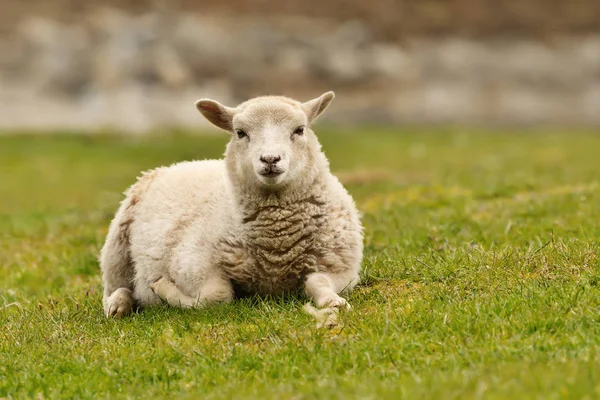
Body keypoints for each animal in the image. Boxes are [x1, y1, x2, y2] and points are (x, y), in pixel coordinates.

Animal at [101, 90, 364, 318]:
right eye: (240, 132)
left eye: (299, 130)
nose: (270, 159)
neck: (276, 244)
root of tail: (177, 164)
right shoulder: (190, 265)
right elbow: (218, 295)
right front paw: (162, 287)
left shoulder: (340, 267)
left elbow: (318, 282)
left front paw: (334, 302)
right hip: (116, 245)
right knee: (115, 287)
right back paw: (118, 305)